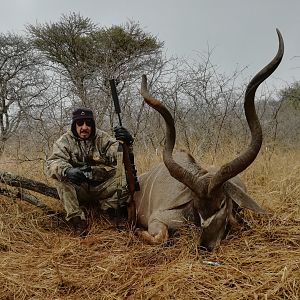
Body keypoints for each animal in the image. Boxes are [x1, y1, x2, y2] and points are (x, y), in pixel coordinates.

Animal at [134, 29, 284, 251]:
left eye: (221, 204)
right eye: (197, 207)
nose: (205, 245)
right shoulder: (157, 219)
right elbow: (160, 235)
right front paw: (139, 232)